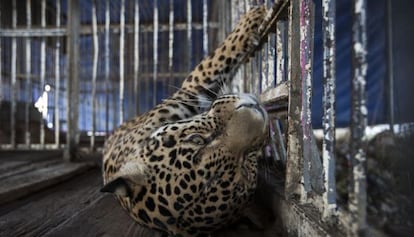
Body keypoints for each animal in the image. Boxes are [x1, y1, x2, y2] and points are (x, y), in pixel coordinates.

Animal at [101, 5, 272, 237]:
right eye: (244, 169)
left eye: (197, 139)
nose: (258, 111)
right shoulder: (189, 90)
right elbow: (212, 62)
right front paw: (254, 14)